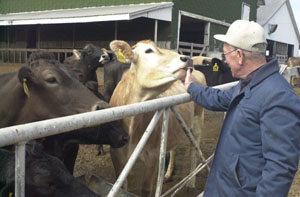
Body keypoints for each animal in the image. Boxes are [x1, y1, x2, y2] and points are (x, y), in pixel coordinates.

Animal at [109, 39, 206, 195]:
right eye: (148, 50)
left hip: (198, 120)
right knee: (173, 149)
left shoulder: (152, 156)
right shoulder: (116, 154)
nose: (188, 58)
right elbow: (122, 187)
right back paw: (168, 174)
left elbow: (146, 189)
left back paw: (191, 182)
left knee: (194, 150)